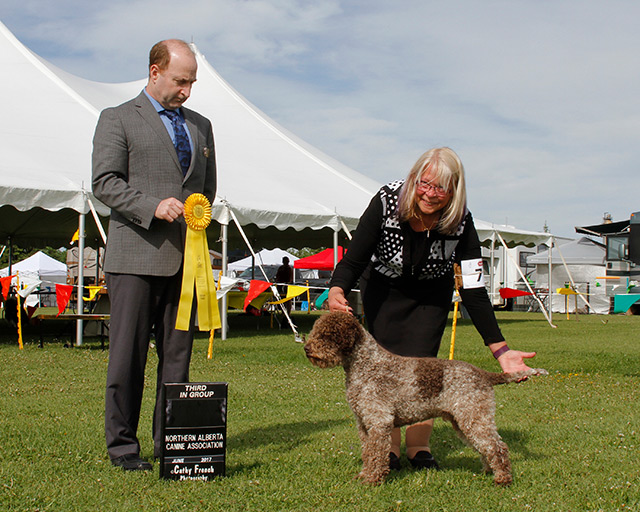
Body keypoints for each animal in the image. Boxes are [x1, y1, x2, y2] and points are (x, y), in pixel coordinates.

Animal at [302, 310, 548, 486]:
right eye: (316, 331)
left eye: (327, 335)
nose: (306, 348)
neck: (365, 364)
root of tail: (484, 374)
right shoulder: (364, 423)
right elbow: (368, 452)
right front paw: (364, 475)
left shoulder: (379, 421)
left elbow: (377, 454)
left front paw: (372, 480)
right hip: (463, 420)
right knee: (487, 447)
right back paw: (489, 471)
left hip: (473, 417)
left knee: (497, 446)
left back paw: (503, 479)